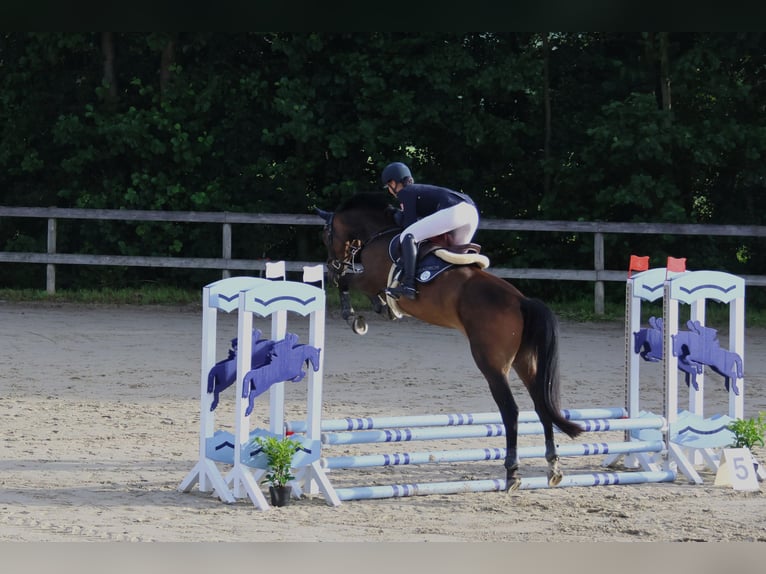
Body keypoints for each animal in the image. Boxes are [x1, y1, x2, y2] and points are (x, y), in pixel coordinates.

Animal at [316, 194, 584, 490]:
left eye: (326, 236)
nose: (332, 264)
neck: (380, 233)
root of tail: (521, 301)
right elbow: (360, 289)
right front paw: (381, 308)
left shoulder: (369, 276)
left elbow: (345, 282)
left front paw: (354, 316)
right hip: (525, 361)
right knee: (540, 405)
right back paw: (552, 466)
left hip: (491, 363)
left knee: (510, 410)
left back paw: (512, 471)